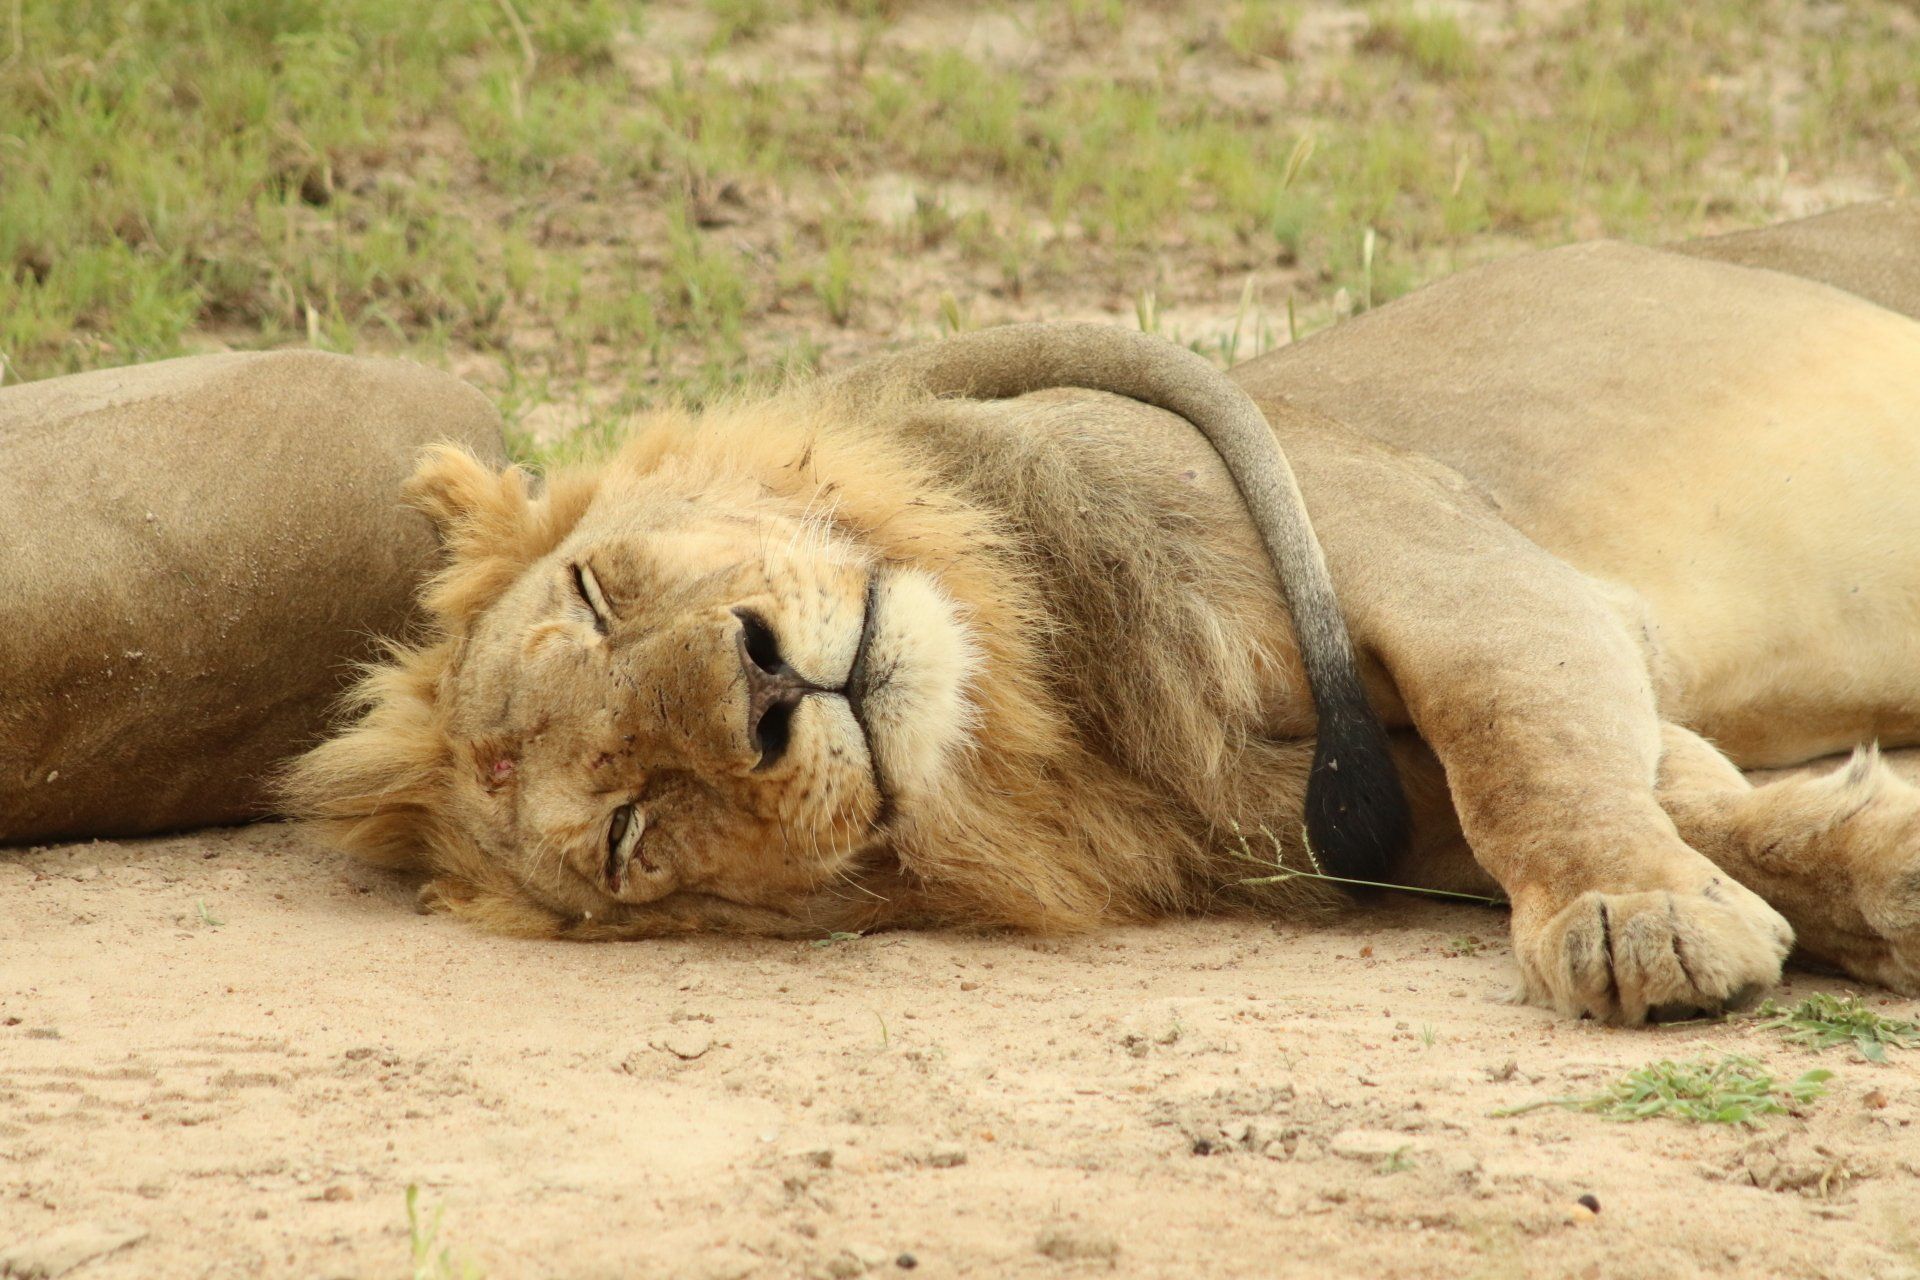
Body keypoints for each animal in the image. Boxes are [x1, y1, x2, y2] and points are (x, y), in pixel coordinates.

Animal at [285, 199, 1920, 1024]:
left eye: (600, 588)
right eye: (629, 833)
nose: (758, 685)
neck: (1054, 702)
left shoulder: (1461, 567)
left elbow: (1525, 747)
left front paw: (1637, 915)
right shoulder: (1370, 822)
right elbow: (1687, 804)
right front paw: (1844, 877)